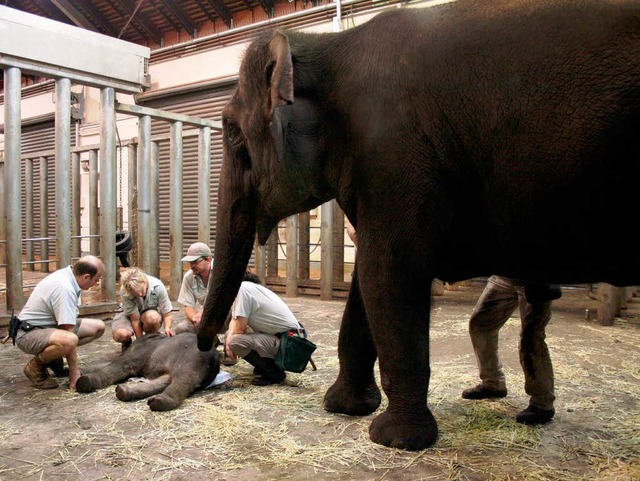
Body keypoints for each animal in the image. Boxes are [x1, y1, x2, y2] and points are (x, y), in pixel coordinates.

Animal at [75, 332, 218, 410]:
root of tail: (214, 362)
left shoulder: (139, 354)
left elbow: (120, 365)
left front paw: (82, 379)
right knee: (164, 381)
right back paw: (123, 392)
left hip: (190, 360)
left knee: (182, 379)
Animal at [198, 0, 640, 450]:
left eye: (232, 134)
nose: (210, 348)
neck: (328, 44)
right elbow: (367, 282)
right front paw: (345, 407)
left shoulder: (395, 156)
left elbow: (388, 275)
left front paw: (395, 439)